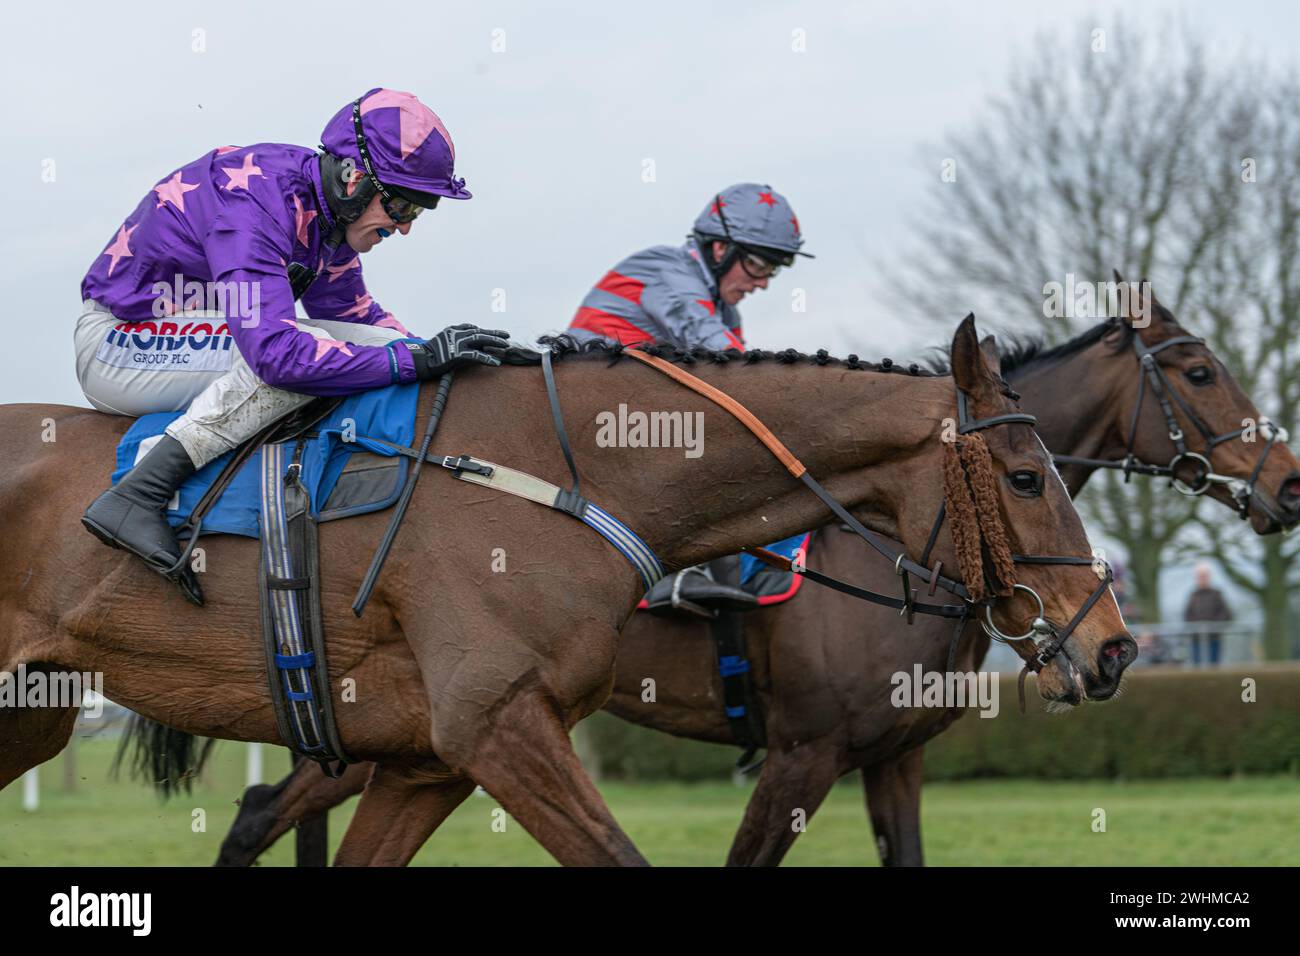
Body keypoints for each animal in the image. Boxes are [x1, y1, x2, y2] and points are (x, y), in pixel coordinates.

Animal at [0, 316, 1128, 868]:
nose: (1111, 645)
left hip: (35, 714)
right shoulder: (503, 726)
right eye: (1025, 478)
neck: (565, 475)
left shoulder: (425, 761)